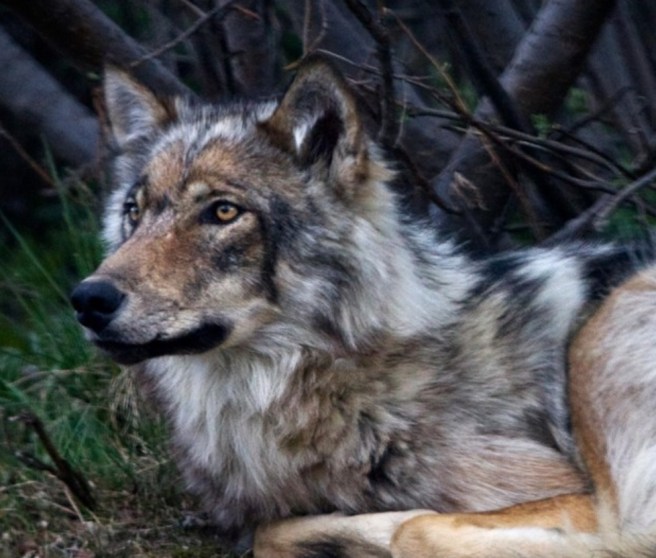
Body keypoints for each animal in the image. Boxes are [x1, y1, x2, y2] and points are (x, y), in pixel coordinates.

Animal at [71, 57, 656, 557]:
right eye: (134, 212)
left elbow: (415, 527)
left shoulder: (565, 488)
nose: (88, 299)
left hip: (602, 335)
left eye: (222, 211)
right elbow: (274, 532)